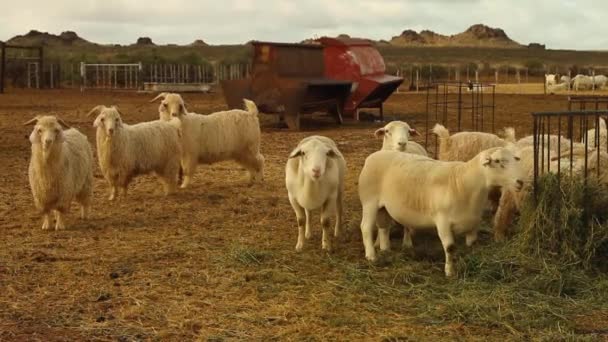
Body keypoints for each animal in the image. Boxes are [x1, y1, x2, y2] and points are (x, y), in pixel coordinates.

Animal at [358, 147, 524, 276]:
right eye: (498, 161)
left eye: (515, 160)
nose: (520, 182)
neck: (464, 183)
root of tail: (372, 156)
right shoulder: (442, 221)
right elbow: (450, 247)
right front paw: (450, 272)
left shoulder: (473, 223)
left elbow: (472, 244)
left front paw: (470, 262)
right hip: (369, 201)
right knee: (365, 227)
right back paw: (371, 256)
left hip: (383, 207)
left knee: (383, 227)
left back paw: (386, 250)